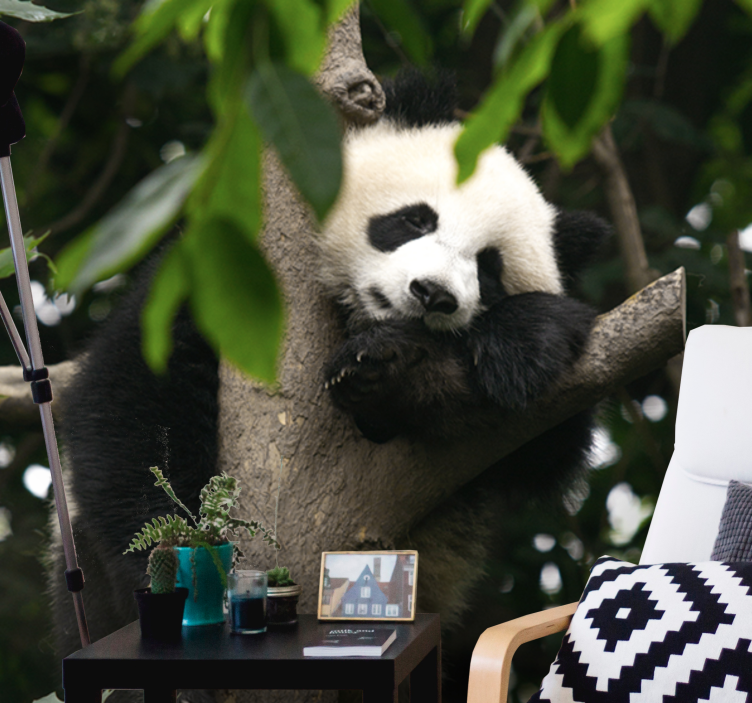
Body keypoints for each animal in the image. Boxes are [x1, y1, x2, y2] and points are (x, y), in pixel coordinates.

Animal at [50, 71, 608, 677]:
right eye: (415, 219)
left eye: (489, 268)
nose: (432, 293)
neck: (354, 318)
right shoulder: (218, 285)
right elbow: (133, 404)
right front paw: (178, 560)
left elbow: (546, 442)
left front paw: (507, 345)